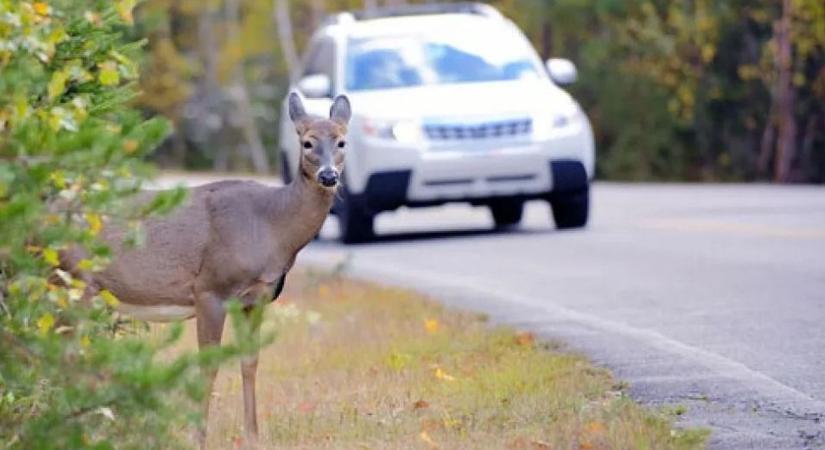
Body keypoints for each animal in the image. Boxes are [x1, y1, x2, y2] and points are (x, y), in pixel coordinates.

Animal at [62, 92, 350, 446]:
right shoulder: (211, 288)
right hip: (76, 280)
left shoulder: (256, 298)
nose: (328, 176)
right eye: (307, 142)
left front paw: (253, 436)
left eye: (342, 141)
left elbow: (250, 362)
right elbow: (208, 366)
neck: (271, 225)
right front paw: (198, 437)